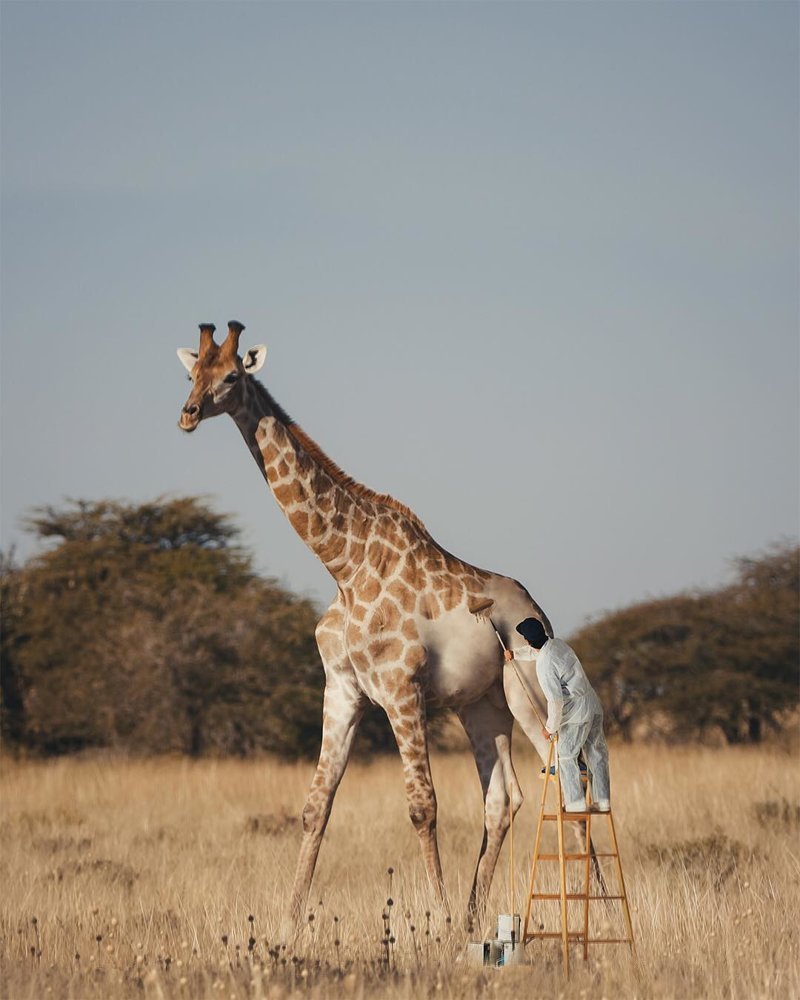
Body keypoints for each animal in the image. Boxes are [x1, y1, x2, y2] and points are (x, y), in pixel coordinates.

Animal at [177, 322, 552, 928]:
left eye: (232, 375)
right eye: (192, 373)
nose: (187, 414)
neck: (344, 565)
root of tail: (541, 612)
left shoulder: (401, 688)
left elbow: (423, 806)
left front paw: (439, 919)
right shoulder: (342, 688)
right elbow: (316, 805)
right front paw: (288, 923)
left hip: (529, 693)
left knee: (568, 773)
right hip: (482, 705)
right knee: (504, 798)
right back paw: (477, 917)